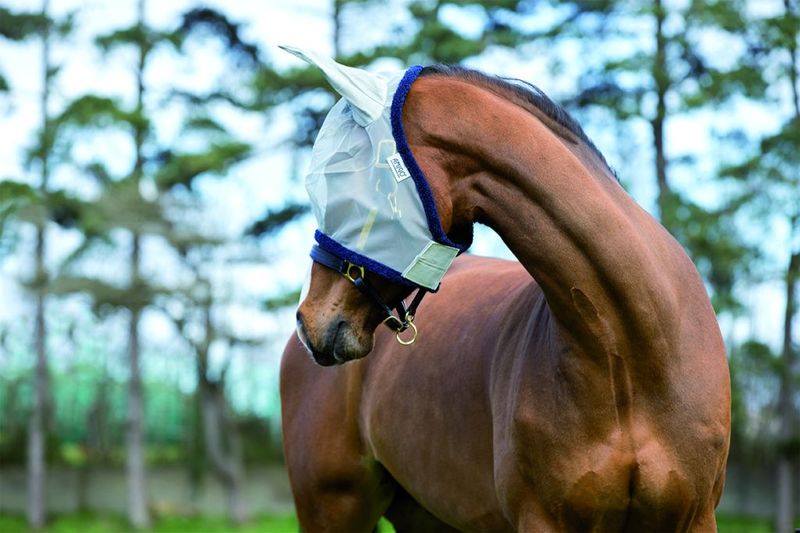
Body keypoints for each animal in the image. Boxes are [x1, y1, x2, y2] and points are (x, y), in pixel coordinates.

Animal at [280, 53, 732, 528]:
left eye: (340, 186)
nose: (310, 321)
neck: (629, 355)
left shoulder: (697, 518)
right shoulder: (541, 520)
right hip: (332, 508)